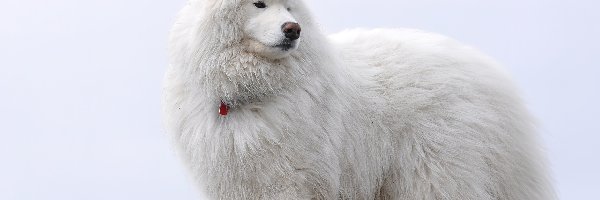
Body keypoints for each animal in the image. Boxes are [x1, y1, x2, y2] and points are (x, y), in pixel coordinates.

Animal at [162, 0, 556, 198]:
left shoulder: (290, 181)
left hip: (433, 177)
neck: (250, 92)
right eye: (259, 3)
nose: (294, 29)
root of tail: (492, 76)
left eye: (289, 8)